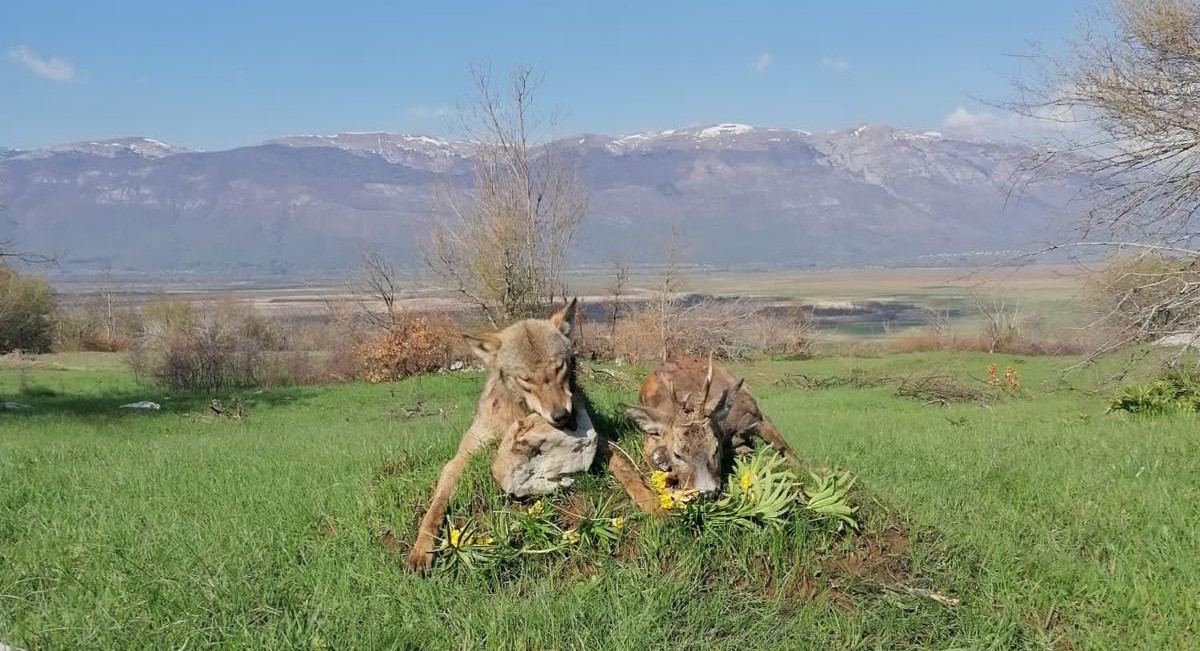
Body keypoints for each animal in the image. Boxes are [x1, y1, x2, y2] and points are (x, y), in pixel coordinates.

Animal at [407, 299, 661, 571]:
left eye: (559, 367)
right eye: (525, 379)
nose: (561, 416)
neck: (520, 411)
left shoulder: (599, 440)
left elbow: (626, 469)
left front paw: (650, 501)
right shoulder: (461, 459)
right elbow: (436, 506)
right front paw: (422, 547)